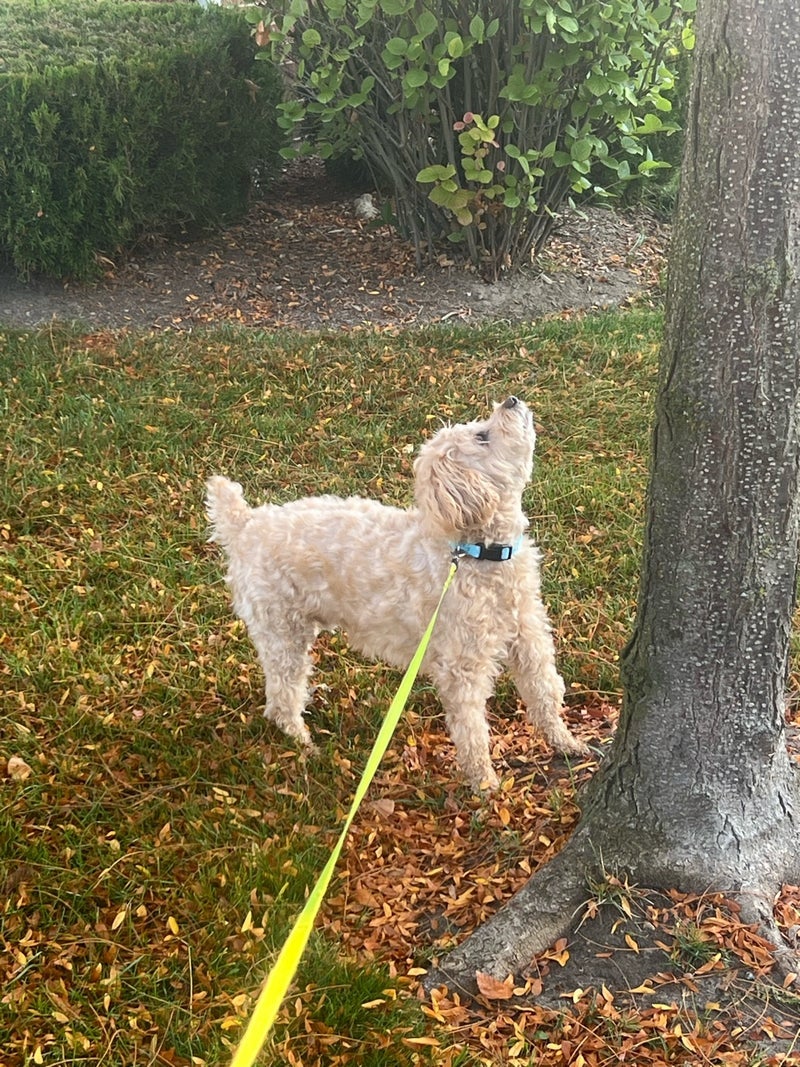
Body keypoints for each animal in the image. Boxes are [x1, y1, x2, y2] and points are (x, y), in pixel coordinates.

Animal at [205, 396, 587, 790]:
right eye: (482, 436)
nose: (510, 400)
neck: (475, 551)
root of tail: (245, 524)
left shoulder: (528, 637)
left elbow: (545, 692)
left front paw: (567, 743)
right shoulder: (462, 667)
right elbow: (471, 728)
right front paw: (484, 784)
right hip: (281, 632)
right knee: (282, 698)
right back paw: (304, 746)